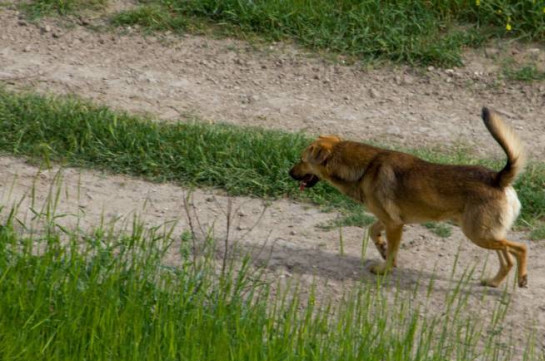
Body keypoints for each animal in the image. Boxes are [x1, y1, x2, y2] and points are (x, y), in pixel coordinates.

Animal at [288, 107, 528, 286]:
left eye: (302, 159)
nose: (289, 173)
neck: (366, 167)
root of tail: (498, 179)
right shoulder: (390, 220)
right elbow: (373, 231)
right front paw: (382, 249)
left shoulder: (394, 224)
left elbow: (392, 250)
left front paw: (384, 269)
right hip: (487, 233)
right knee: (507, 258)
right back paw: (494, 282)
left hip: (478, 234)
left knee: (519, 248)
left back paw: (522, 278)